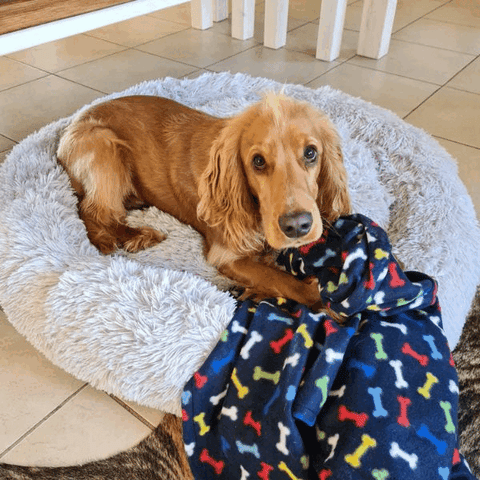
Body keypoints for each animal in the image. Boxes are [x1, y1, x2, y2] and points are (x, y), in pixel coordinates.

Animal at [57, 93, 351, 309]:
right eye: (258, 161)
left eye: (311, 153)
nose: (297, 226)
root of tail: (69, 128)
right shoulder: (225, 254)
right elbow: (287, 282)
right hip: (105, 147)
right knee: (92, 211)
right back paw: (134, 235)